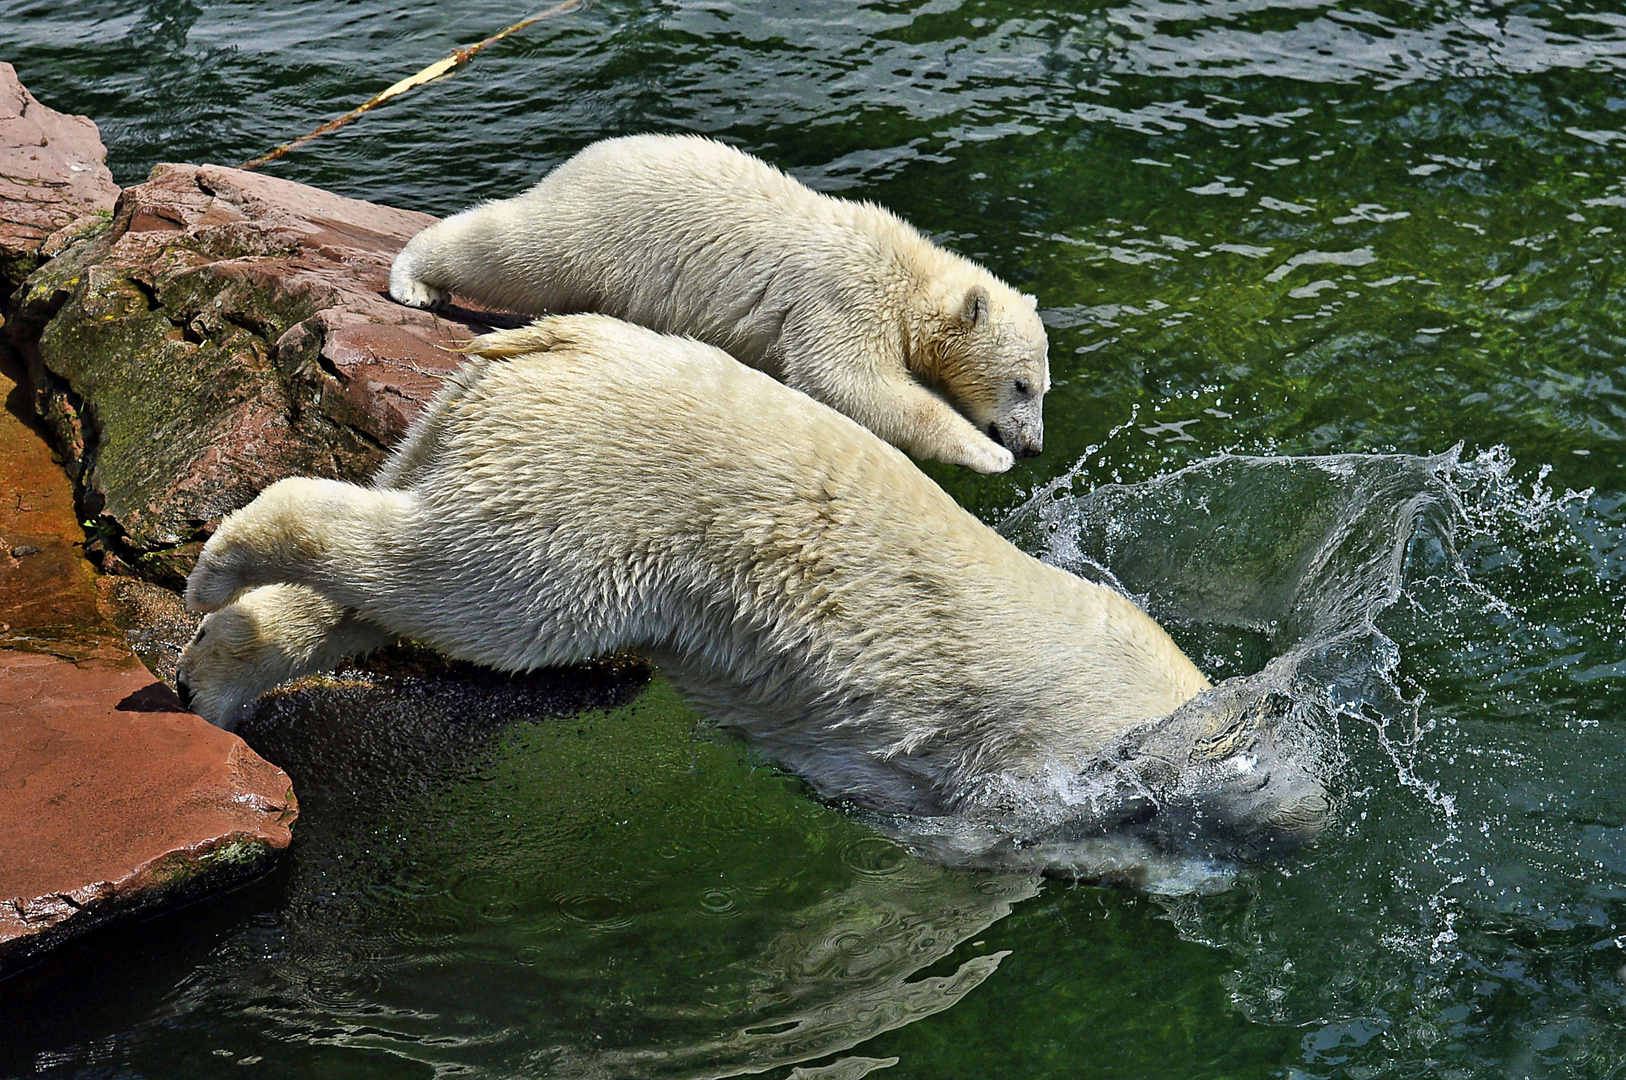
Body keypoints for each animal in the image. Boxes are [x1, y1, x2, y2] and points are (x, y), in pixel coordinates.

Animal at [181, 312, 1209, 810]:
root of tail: (547, 337)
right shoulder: (1019, 763)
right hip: (597, 491)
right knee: (480, 591)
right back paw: (215, 565)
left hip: (471, 429)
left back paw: (215, 674)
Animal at [395, 134, 1053, 471]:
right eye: (1022, 385)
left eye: (1045, 388)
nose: (1034, 446)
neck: (909, 275)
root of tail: (585, 157)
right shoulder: (844, 297)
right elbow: (850, 382)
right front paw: (987, 452)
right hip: (602, 229)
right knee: (516, 254)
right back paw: (415, 280)